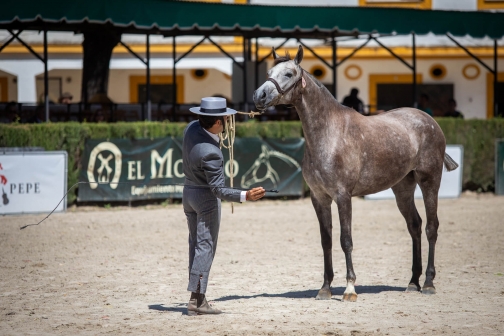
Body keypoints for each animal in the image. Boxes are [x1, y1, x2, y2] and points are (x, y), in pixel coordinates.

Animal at [254, 45, 458, 302]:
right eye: (269, 72)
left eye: (289, 74)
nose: (259, 96)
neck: (329, 134)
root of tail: (430, 121)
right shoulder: (319, 198)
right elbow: (326, 241)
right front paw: (325, 288)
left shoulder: (343, 196)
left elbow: (346, 240)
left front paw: (350, 288)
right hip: (403, 187)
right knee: (415, 225)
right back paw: (413, 282)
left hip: (429, 181)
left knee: (432, 227)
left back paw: (429, 283)